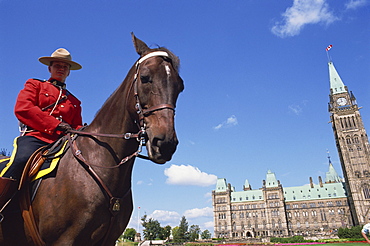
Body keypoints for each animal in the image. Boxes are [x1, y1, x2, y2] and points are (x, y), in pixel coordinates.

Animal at [0, 33, 184, 245]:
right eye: (145, 78)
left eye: (180, 86)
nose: (165, 143)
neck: (101, 163)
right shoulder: (64, 240)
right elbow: (25, 107)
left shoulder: (109, 240)